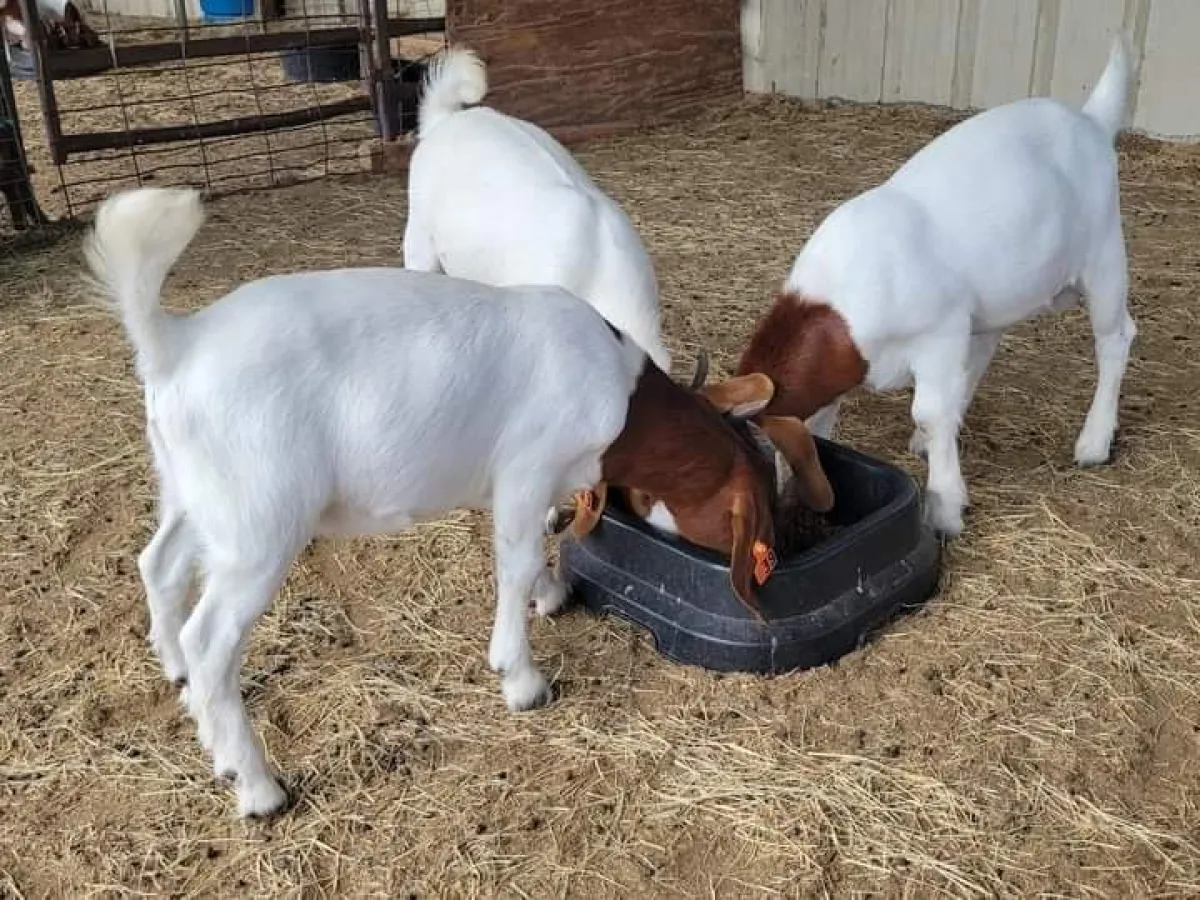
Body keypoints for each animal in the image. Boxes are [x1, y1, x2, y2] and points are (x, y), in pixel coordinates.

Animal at [85, 186, 807, 818]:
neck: (621, 395)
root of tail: (175, 346)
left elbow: (527, 552)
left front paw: (550, 596)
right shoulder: (525, 468)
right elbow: (516, 562)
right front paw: (522, 677)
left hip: (199, 495)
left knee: (159, 564)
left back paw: (177, 678)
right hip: (259, 523)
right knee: (210, 639)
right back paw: (256, 785)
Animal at [711, 36, 1136, 537]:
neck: (839, 310)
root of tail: (1091, 121)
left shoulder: (940, 332)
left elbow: (929, 410)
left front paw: (945, 507)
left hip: (1104, 252)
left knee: (1114, 337)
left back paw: (1094, 442)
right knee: (986, 347)